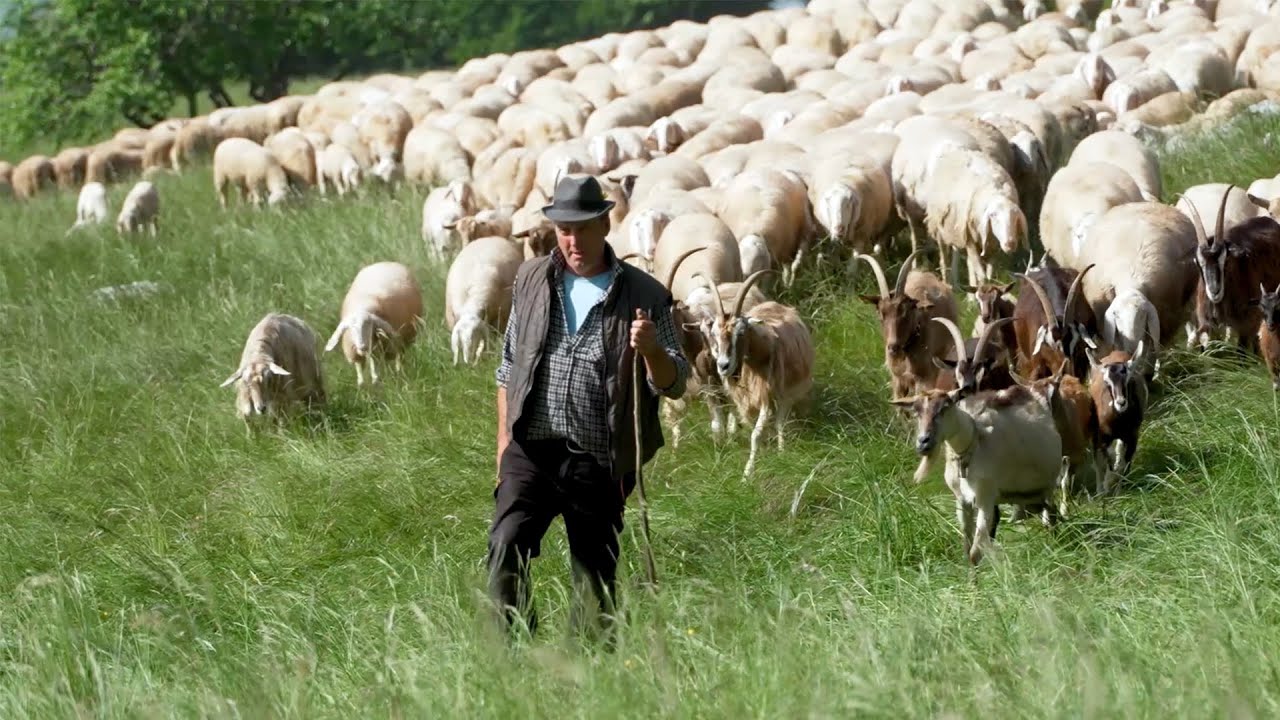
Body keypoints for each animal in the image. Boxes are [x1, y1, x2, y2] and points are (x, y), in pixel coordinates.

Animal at [693, 269, 815, 478]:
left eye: (741, 332)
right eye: (714, 333)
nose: (723, 366)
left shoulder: (768, 396)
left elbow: (756, 434)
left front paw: (748, 472)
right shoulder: (745, 400)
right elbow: (754, 431)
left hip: (787, 392)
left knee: (781, 422)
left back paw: (781, 449)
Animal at [891, 384, 1066, 564]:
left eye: (945, 408)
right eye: (917, 412)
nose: (923, 442)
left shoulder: (984, 499)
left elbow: (974, 552)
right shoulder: (962, 501)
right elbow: (967, 547)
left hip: (1047, 487)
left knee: (1051, 514)